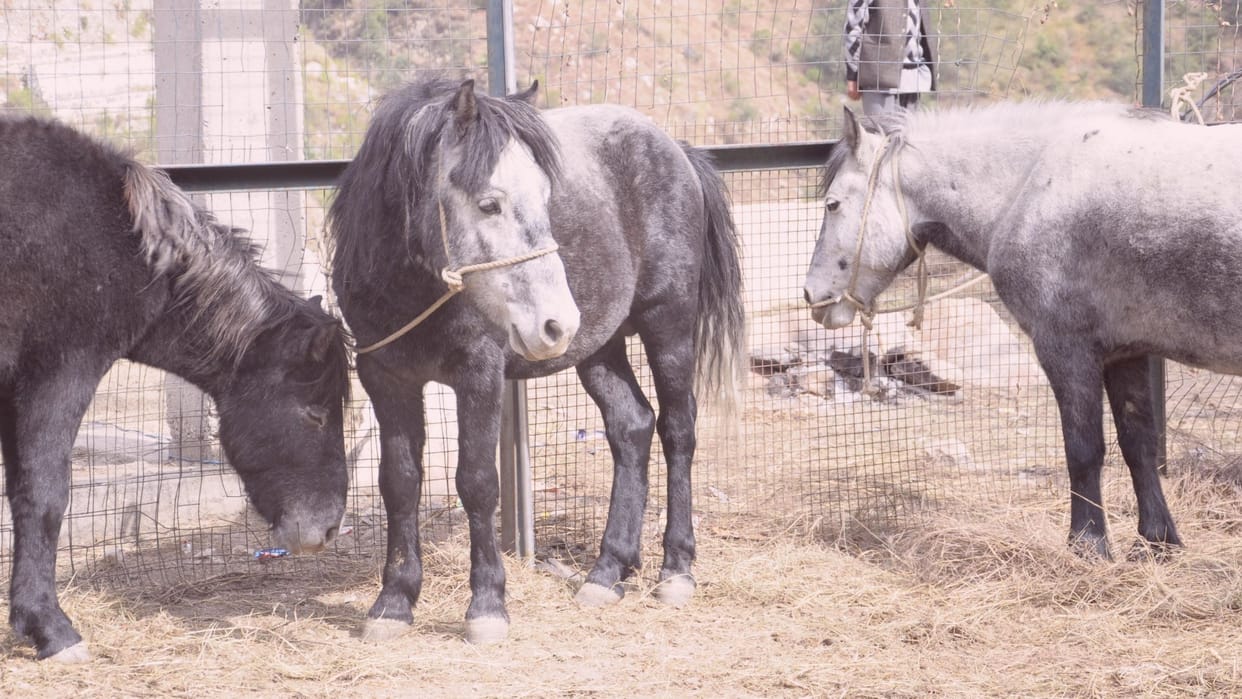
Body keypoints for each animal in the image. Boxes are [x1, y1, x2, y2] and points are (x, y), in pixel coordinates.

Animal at [327, 77, 744, 644]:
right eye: (489, 204)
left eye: (547, 199)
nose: (555, 322)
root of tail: (676, 149)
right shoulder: (385, 378)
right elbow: (399, 483)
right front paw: (393, 602)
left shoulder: (480, 376)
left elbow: (477, 482)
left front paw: (486, 605)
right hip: (599, 347)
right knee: (632, 426)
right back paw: (608, 571)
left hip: (669, 324)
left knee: (678, 430)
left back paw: (676, 569)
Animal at [803, 102, 1242, 560]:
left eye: (832, 204)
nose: (811, 294)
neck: (1031, 185)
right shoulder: (1126, 352)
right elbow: (1138, 444)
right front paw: (1158, 540)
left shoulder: (1065, 349)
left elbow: (1084, 449)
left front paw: (1088, 544)